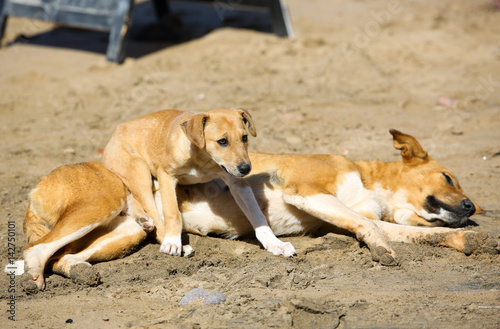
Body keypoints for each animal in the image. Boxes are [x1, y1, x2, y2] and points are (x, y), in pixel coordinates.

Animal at [22, 128, 496, 290]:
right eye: (449, 177)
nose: (472, 205)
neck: (370, 181)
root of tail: (37, 184)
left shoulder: (356, 214)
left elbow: (423, 233)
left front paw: (470, 238)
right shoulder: (307, 192)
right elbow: (372, 227)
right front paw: (381, 251)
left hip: (127, 231)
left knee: (63, 257)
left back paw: (78, 273)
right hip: (98, 208)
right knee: (36, 251)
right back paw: (34, 280)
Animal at [103, 109, 294, 258]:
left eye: (245, 137)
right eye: (222, 141)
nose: (246, 168)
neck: (203, 160)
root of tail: (117, 129)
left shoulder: (237, 182)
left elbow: (257, 214)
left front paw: (275, 243)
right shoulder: (166, 174)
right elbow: (172, 212)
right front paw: (172, 242)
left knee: (135, 200)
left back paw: (143, 220)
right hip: (139, 171)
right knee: (152, 211)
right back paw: (172, 241)